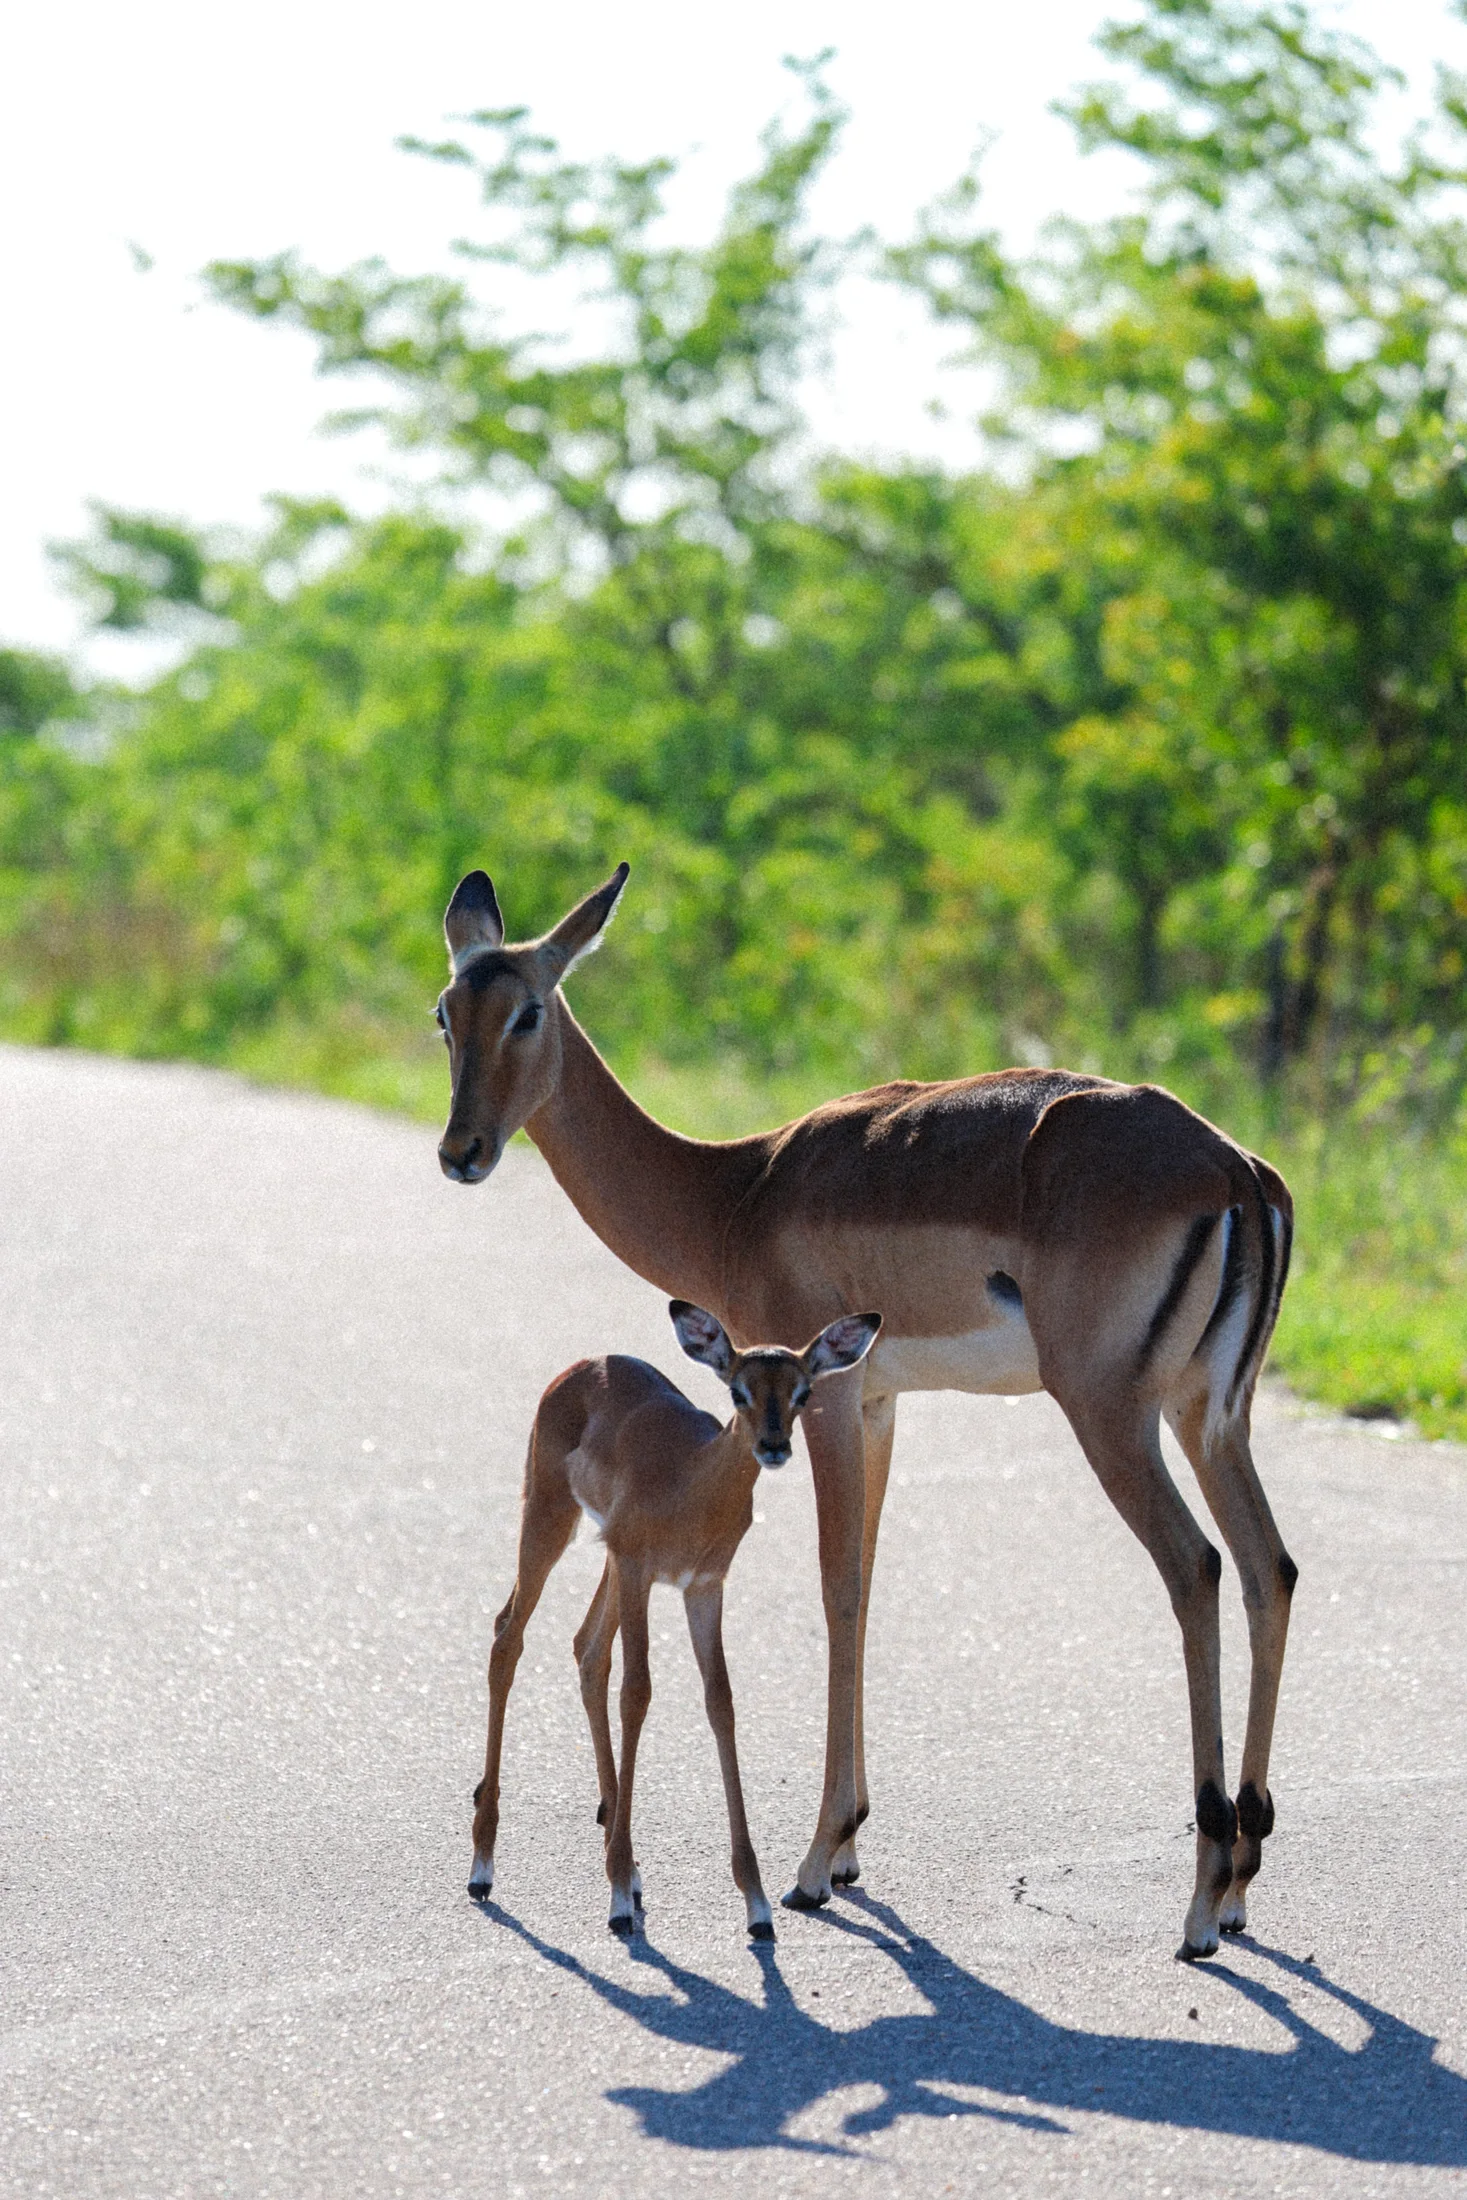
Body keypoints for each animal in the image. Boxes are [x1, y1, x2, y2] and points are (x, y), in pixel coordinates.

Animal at [468, 1300, 882, 1936]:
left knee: (587, 1649)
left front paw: (757, 1903)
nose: (774, 1446)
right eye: (738, 1389)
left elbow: (721, 1703)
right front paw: (616, 1899)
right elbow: (637, 1693)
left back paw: (629, 1866)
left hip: (608, 1559)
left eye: (803, 1391)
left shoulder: (701, 1588)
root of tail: (582, 1365)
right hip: (550, 1518)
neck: (691, 1480)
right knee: (507, 1638)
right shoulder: (642, 1571)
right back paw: (484, 1867)